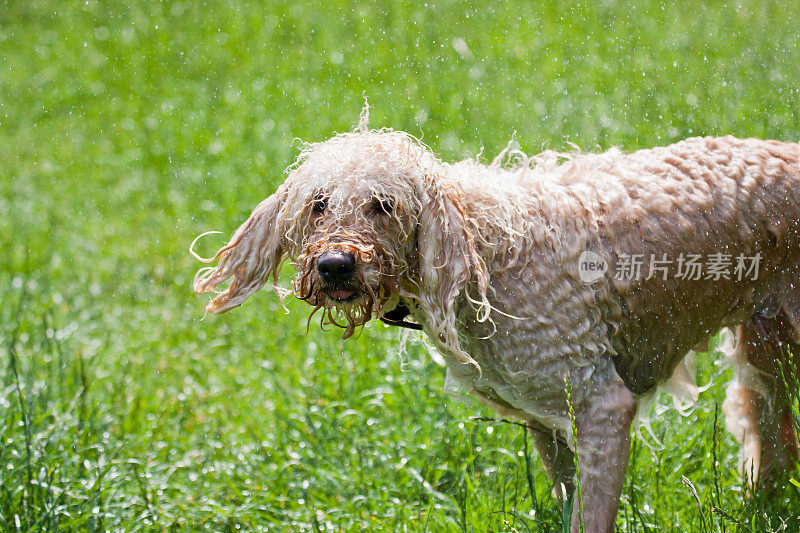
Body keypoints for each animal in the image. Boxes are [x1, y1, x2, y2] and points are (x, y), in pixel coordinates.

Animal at [194, 110, 800, 528]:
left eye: (383, 205)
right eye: (318, 204)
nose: (335, 265)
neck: (483, 256)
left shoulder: (602, 407)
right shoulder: (545, 417)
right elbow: (565, 496)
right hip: (767, 347)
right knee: (776, 441)